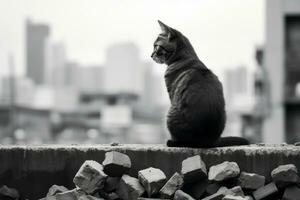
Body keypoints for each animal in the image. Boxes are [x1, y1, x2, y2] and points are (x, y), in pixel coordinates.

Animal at [151, 20, 250, 148]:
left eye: (156, 46)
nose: (151, 55)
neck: (183, 57)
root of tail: (208, 142)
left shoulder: (171, 93)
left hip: (171, 113)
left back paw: (173, 142)